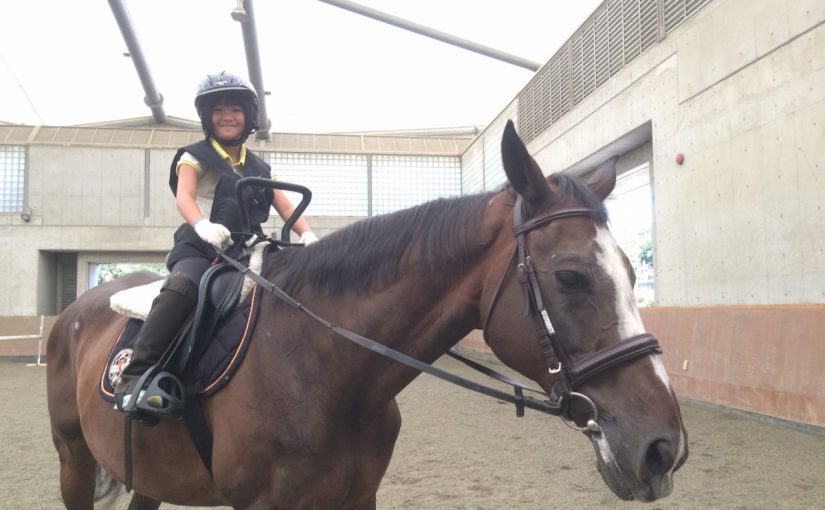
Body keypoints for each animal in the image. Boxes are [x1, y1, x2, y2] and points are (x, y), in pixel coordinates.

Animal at [47, 121, 687, 509]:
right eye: (571, 276)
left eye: (633, 274)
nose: (664, 448)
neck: (320, 366)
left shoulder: (357, 495)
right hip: (74, 457)